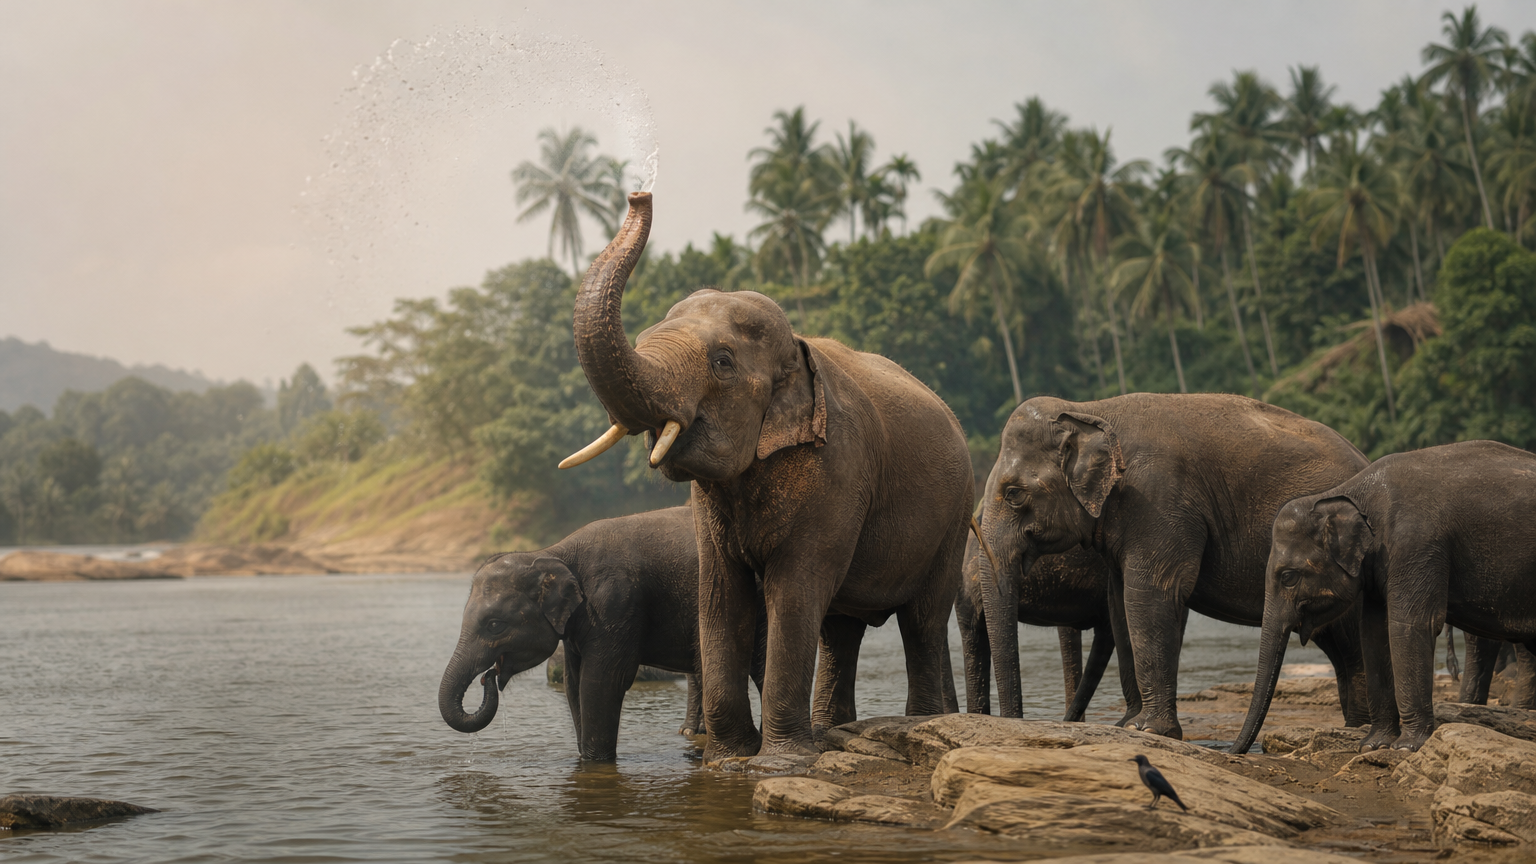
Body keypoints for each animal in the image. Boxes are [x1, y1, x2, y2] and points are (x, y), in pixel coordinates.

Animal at [437, 505, 767, 760]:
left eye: (495, 625)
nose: (488, 676)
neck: (553, 553)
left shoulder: (615, 604)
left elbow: (601, 680)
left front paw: (596, 762)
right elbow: (573, 682)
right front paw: (584, 758)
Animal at [561, 192, 973, 759]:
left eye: (722, 362)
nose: (639, 194)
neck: (798, 350)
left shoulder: (837, 467)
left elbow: (795, 589)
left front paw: (774, 762)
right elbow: (721, 591)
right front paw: (729, 761)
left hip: (954, 517)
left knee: (923, 620)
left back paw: (918, 722)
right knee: (841, 629)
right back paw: (831, 731)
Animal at [976, 393, 1372, 741]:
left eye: (1014, 494)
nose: (1015, 721)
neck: (1091, 409)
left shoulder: (1158, 502)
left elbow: (1148, 595)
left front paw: (1149, 730)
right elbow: (1120, 604)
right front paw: (1128, 725)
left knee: (1352, 640)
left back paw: (1360, 730)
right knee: (1341, 646)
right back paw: (1353, 728)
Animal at [1232, 440, 1536, 753]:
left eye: (1288, 577)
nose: (1233, 750)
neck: (1349, 492)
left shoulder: (1416, 545)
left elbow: (1410, 627)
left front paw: (1406, 747)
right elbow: (1373, 632)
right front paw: (1372, 745)